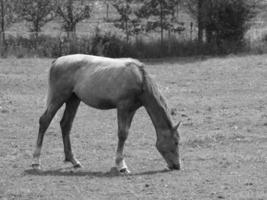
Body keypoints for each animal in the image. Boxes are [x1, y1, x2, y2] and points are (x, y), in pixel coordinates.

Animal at [31, 53, 182, 173]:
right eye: (175, 142)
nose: (177, 166)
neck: (139, 79)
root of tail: (57, 61)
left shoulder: (131, 110)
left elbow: (125, 133)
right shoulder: (123, 108)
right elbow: (122, 134)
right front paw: (121, 165)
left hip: (73, 100)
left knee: (65, 124)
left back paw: (74, 160)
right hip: (59, 97)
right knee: (44, 121)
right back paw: (36, 162)